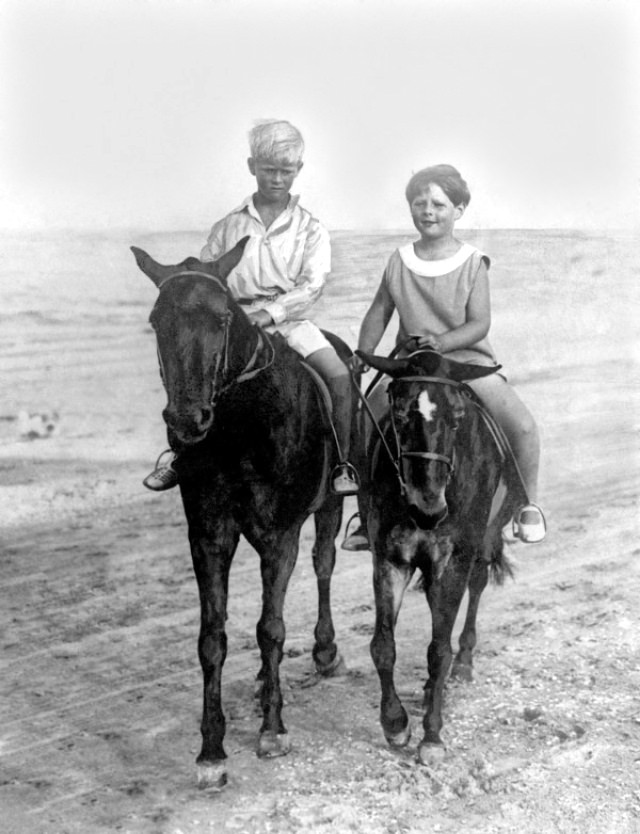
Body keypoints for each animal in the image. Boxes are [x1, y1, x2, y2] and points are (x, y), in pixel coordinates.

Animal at [132, 239, 350, 788]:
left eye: (223, 318)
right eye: (156, 320)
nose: (187, 420)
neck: (242, 428)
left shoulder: (280, 536)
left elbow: (271, 628)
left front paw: (273, 730)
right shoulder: (209, 536)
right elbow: (213, 638)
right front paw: (211, 751)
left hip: (331, 504)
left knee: (323, 564)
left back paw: (325, 652)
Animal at [356, 346, 524, 768]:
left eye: (458, 417)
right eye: (399, 415)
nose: (427, 508)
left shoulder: (453, 560)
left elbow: (438, 650)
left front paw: (432, 736)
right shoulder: (390, 558)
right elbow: (383, 645)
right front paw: (395, 724)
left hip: (484, 540)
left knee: (475, 590)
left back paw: (462, 662)